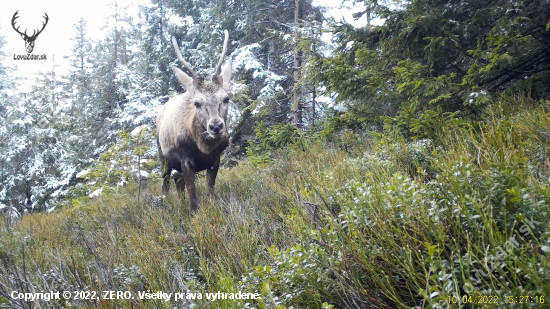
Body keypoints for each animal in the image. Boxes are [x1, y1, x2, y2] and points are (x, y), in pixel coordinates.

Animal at [156, 29, 232, 212]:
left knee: (178, 181)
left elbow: (210, 192)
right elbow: (194, 201)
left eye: (226, 98)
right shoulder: (185, 158)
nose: (216, 126)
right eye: (197, 103)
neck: (204, 148)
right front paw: (192, 213)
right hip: (162, 154)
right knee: (166, 181)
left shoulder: (216, 159)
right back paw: (165, 202)